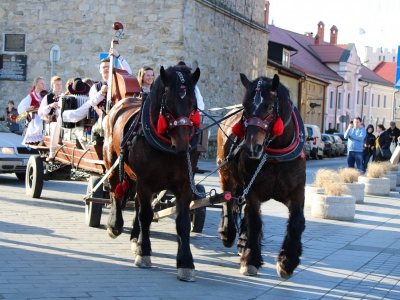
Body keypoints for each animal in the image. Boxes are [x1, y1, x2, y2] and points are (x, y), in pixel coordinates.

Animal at [103, 65, 200, 282]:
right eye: (168, 103)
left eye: (193, 104)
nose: (183, 147)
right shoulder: (145, 182)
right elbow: (146, 215)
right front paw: (144, 253)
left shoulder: (185, 185)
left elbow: (182, 223)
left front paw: (186, 263)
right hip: (113, 163)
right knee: (115, 192)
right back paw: (115, 225)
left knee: (137, 205)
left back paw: (135, 237)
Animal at [217, 74, 304, 280]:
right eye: (245, 106)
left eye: (270, 107)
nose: (251, 148)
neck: (274, 157)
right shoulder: (253, 191)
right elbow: (254, 221)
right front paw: (251, 260)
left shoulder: (297, 192)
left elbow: (296, 222)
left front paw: (288, 261)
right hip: (226, 174)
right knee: (228, 200)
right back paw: (228, 233)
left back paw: (242, 242)